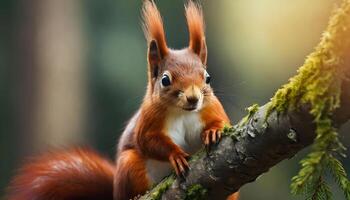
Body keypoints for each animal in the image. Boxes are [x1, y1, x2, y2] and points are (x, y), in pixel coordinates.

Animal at [6, 0, 237, 199]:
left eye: (208, 77)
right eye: (165, 80)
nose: (193, 98)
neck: (182, 112)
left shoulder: (212, 108)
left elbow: (223, 122)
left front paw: (213, 131)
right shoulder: (148, 120)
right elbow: (147, 141)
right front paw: (176, 155)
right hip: (129, 166)